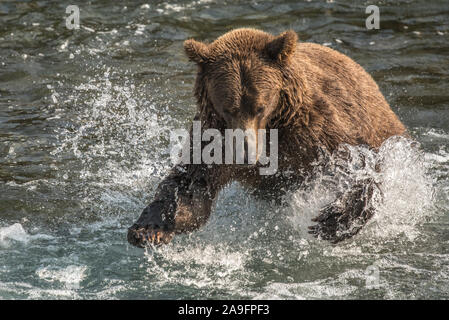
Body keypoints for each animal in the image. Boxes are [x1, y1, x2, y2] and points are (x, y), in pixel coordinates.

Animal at [127, 28, 406, 248]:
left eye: (259, 106)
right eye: (229, 107)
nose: (246, 155)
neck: (272, 128)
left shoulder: (315, 131)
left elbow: (356, 163)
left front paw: (332, 221)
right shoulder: (214, 138)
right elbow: (190, 185)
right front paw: (148, 229)